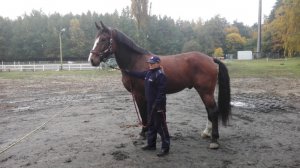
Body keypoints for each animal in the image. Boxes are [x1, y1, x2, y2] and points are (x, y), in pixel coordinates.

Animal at [88, 21, 231, 150]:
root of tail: (211, 59)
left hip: (205, 92)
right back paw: (206, 133)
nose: (92, 60)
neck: (135, 62)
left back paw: (214, 140)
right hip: (204, 92)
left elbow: (143, 114)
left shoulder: (139, 95)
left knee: (213, 111)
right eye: (95, 39)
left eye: (104, 39)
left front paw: (143, 133)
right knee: (209, 111)